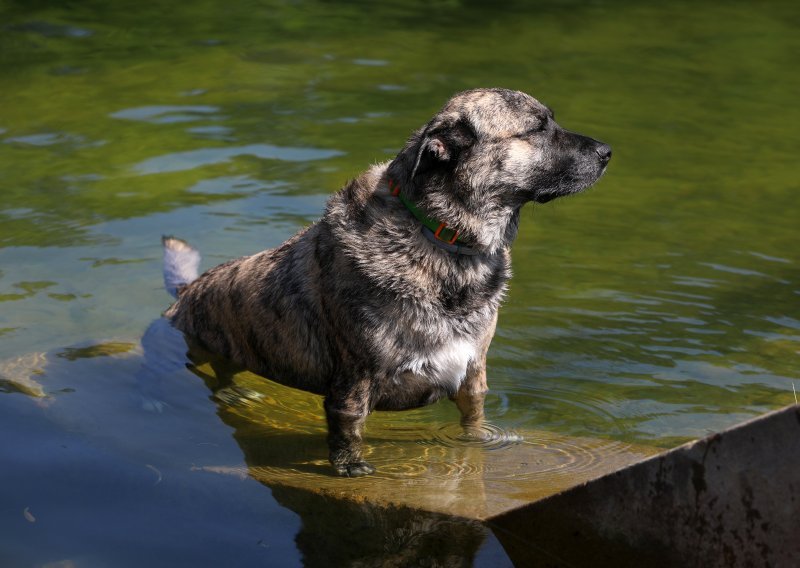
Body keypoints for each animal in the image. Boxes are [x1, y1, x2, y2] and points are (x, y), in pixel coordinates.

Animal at [162, 87, 612, 474]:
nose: (607, 152)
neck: (442, 238)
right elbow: (348, 433)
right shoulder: (354, 384)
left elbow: (472, 422)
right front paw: (349, 467)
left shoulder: (473, 377)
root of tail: (188, 291)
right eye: (537, 128)